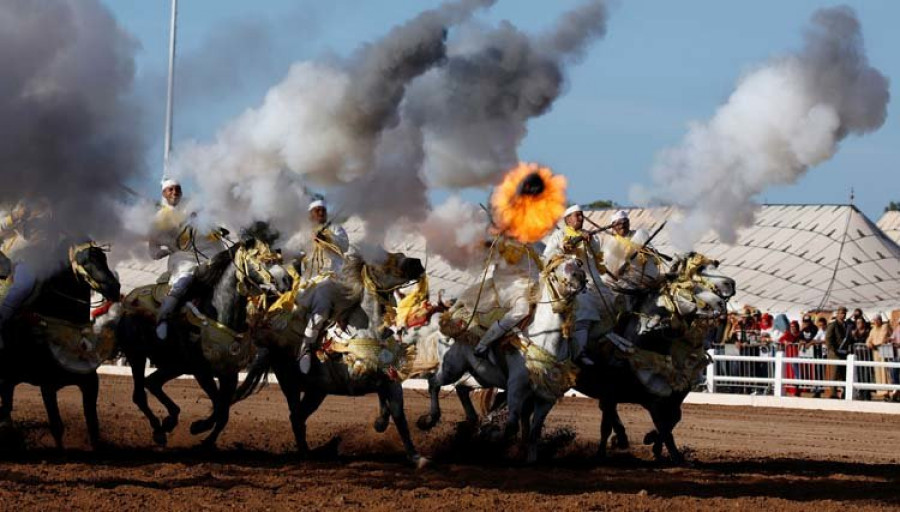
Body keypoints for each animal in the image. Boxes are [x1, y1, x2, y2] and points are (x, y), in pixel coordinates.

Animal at [0, 242, 121, 446]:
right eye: (84, 260)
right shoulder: (47, 385)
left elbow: (93, 426)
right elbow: (57, 427)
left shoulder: (90, 382)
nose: (113, 287)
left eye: (103, 257)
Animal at [114, 237, 280, 448]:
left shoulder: (229, 374)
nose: (274, 285)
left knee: (152, 382)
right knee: (139, 394)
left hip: (175, 365)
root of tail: (126, 304)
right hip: (137, 356)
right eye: (256, 258)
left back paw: (169, 421)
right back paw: (160, 431)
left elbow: (223, 411)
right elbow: (219, 406)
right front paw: (199, 428)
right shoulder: (202, 372)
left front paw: (206, 438)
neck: (219, 315)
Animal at [414, 256, 584, 464]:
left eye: (578, 263)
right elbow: (511, 426)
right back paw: (428, 421)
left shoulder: (546, 398)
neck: (544, 338)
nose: (579, 278)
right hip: (451, 368)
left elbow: (534, 432)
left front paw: (530, 460)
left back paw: (470, 423)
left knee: (461, 388)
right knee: (434, 383)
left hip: (481, 376)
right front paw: (489, 434)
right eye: (556, 269)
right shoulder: (516, 387)